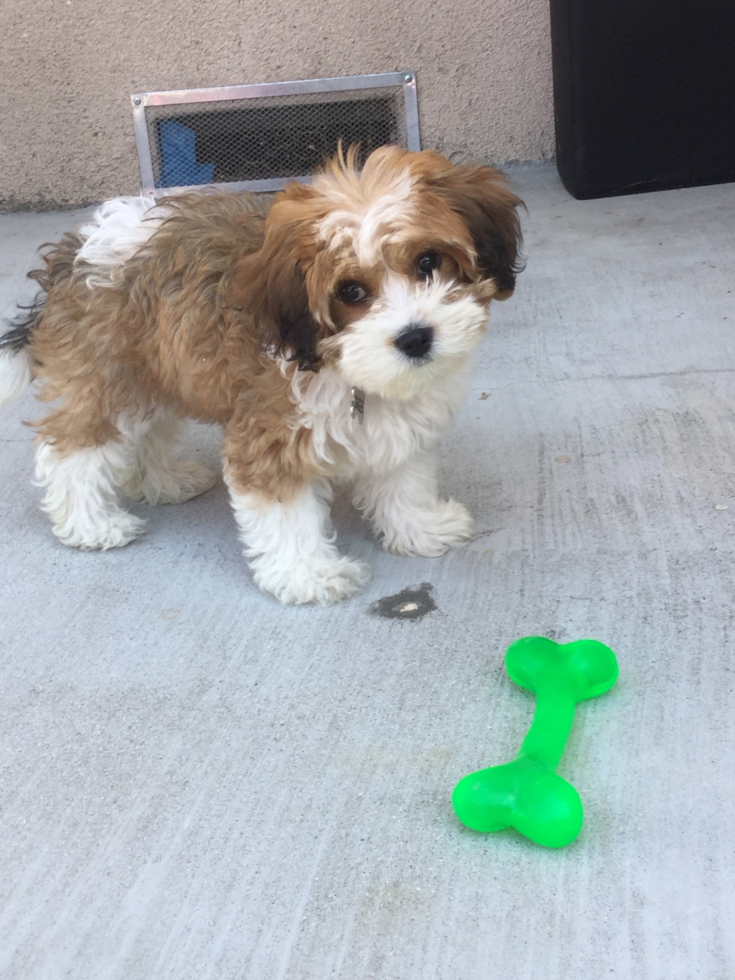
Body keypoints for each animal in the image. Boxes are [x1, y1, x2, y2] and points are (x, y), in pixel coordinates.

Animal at [0, 145, 524, 604]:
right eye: (350, 291)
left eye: (428, 261)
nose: (415, 337)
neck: (334, 362)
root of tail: (74, 251)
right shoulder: (270, 434)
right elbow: (286, 514)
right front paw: (309, 574)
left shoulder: (398, 423)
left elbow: (403, 478)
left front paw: (419, 527)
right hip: (110, 378)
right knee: (73, 448)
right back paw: (92, 524)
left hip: (160, 370)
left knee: (148, 431)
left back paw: (162, 482)